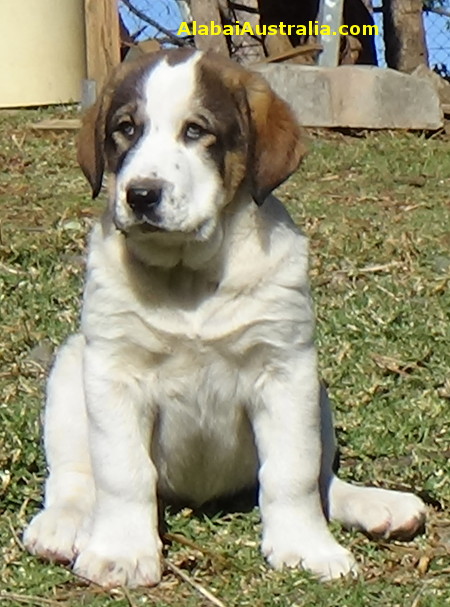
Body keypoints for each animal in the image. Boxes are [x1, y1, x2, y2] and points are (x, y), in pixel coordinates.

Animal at [24, 50, 426, 592]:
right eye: (125, 129)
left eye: (196, 130)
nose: (140, 195)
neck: (190, 277)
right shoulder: (114, 372)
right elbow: (123, 472)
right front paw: (121, 552)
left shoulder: (286, 371)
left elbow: (292, 473)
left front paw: (306, 547)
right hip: (71, 369)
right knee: (74, 477)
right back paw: (62, 525)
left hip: (317, 395)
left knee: (322, 480)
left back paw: (375, 504)